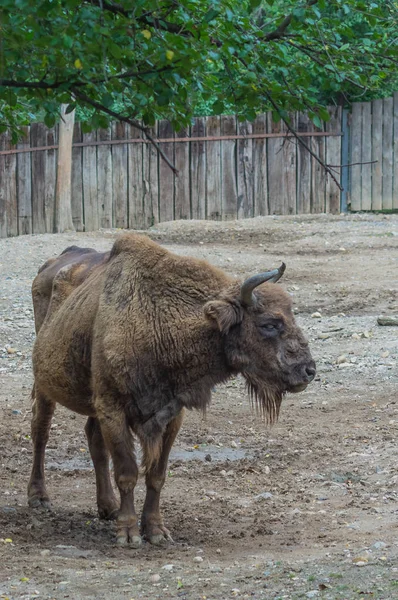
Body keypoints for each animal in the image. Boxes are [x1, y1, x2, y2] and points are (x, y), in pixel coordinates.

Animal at [28, 234, 314, 548]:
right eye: (269, 324)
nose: (308, 371)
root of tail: (51, 264)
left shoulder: (171, 414)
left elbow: (156, 475)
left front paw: (156, 531)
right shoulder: (113, 408)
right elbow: (127, 472)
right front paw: (128, 533)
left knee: (93, 439)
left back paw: (108, 507)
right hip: (45, 384)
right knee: (41, 430)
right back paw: (39, 497)